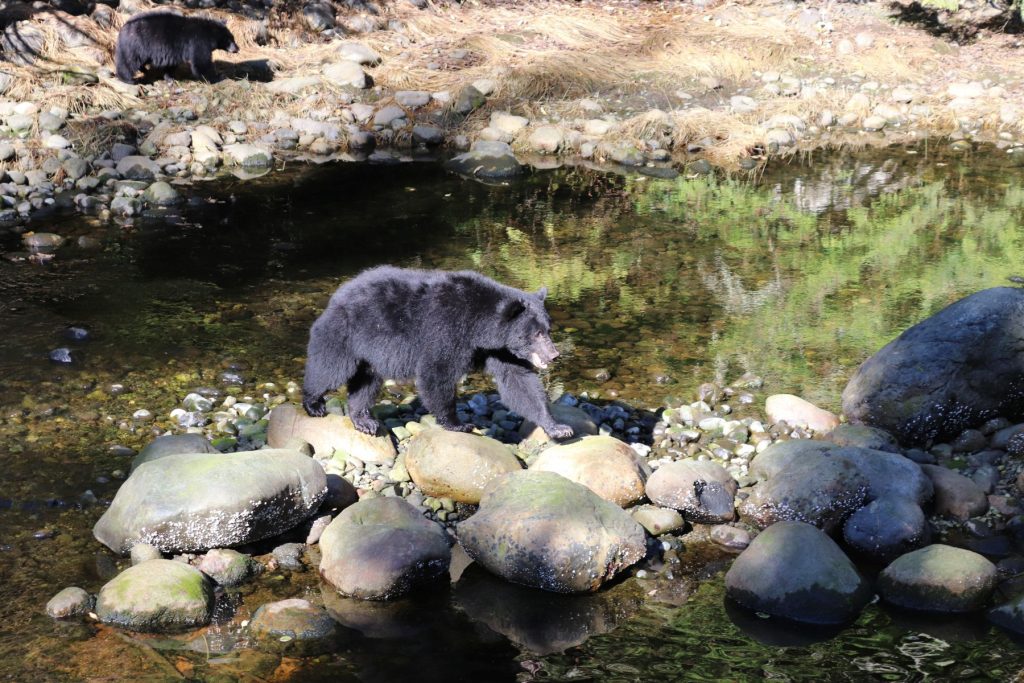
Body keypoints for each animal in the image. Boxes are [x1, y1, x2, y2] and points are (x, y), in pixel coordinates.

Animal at [303, 264, 577, 440]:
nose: (553, 355)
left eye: (548, 329)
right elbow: (437, 372)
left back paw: (364, 420)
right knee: (331, 368)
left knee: (366, 382)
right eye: (537, 333)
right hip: (347, 333)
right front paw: (458, 423)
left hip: (370, 350)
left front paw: (557, 427)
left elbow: (519, 382)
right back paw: (313, 403)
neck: (480, 325)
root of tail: (338, 294)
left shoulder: (498, 350)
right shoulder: (447, 328)